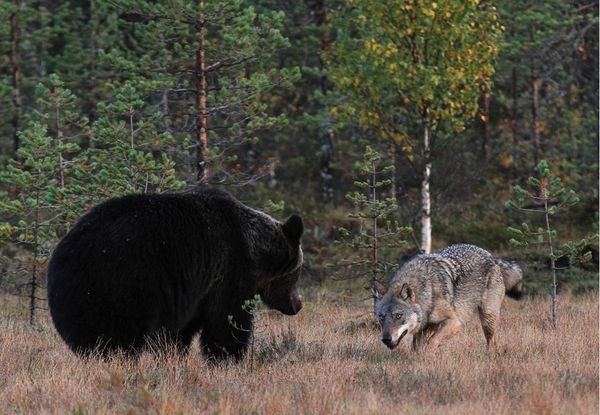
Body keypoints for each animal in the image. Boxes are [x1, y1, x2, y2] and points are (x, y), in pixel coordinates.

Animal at [45, 188, 304, 360]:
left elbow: (179, 331)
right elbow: (227, 320)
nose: (297, 304)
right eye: (297, 273)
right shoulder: (229, 269)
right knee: (121, 333)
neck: (255, 249)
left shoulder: (191, 293)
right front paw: (228, 357)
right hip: (122, 284)